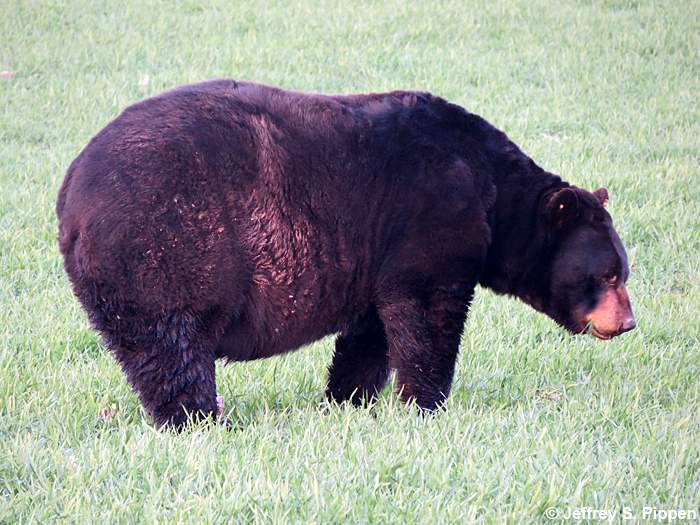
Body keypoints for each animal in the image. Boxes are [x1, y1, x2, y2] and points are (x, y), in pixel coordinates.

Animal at [56, 80, 635, 429]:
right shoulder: (433, 215)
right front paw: (425, 404)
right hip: (165, 244)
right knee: (171, 344)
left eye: (623, 272)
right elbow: (428, 313)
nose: (628, 323)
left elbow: (371, 330)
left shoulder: (379, 254)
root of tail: (71, 194)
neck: (493, 189)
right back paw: (200, 419)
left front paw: (347, 400)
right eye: (608, 276)